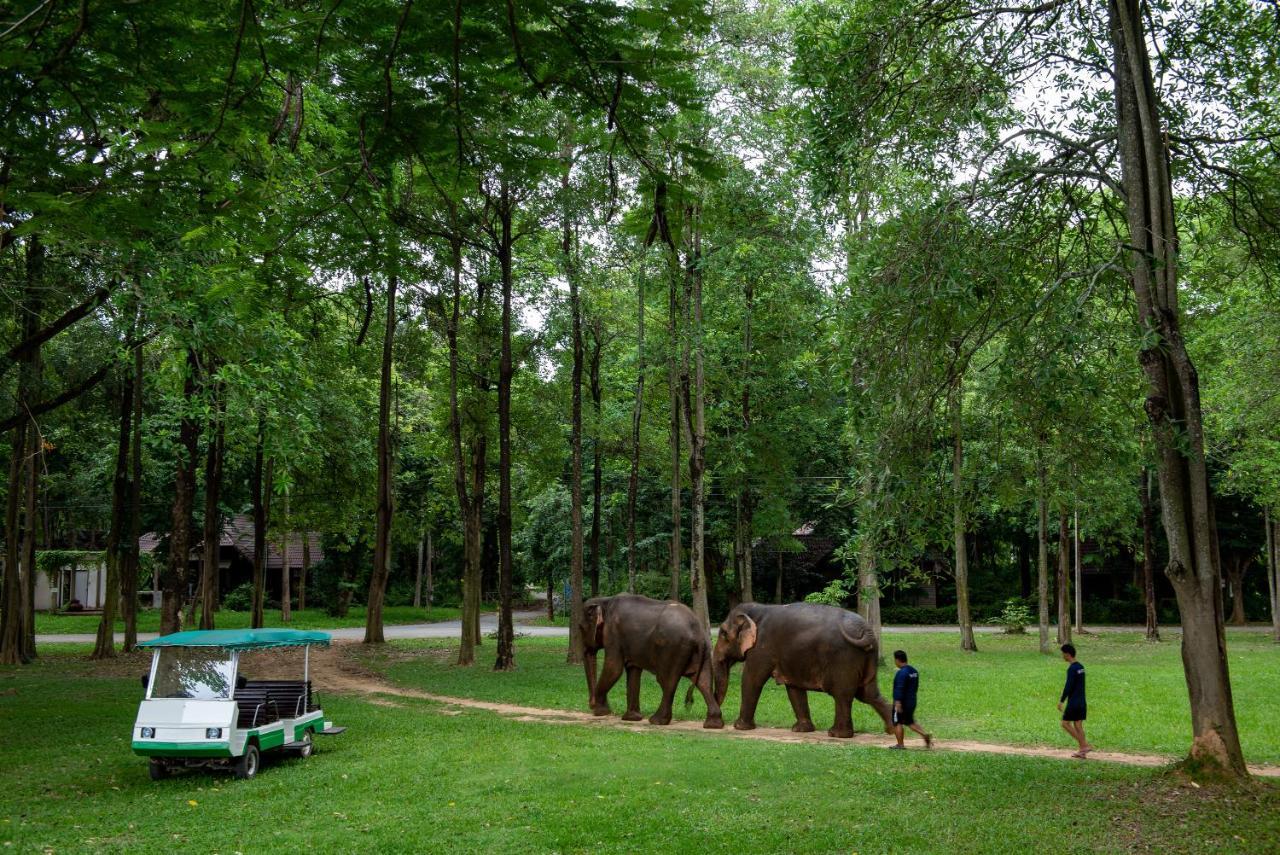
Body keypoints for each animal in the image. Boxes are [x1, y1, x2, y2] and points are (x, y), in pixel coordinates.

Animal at [578, 593, 721, 727]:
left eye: (580, 628)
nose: (591, 704)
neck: (604, 600)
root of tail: (697, 631)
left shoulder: (613, 633)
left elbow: (614, 668)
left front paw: (600, 712)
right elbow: (633, 670)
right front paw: (632, 718)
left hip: (672, 648)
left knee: (666, 681)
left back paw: (656, 721)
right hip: (704, 651)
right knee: (703, 682)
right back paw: (713, 724)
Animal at [716, 601, 896, 737]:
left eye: (723, 633)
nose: (719, 724)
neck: (758, 608)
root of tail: (866, 630)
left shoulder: (762, 646)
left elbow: (752, 680)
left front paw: (739, 727)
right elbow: (794, 688)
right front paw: (801, 730)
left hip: (844, 659)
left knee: (843, 695)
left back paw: (836, 734)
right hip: (868, 658)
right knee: (869, 694)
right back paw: (893, 731)